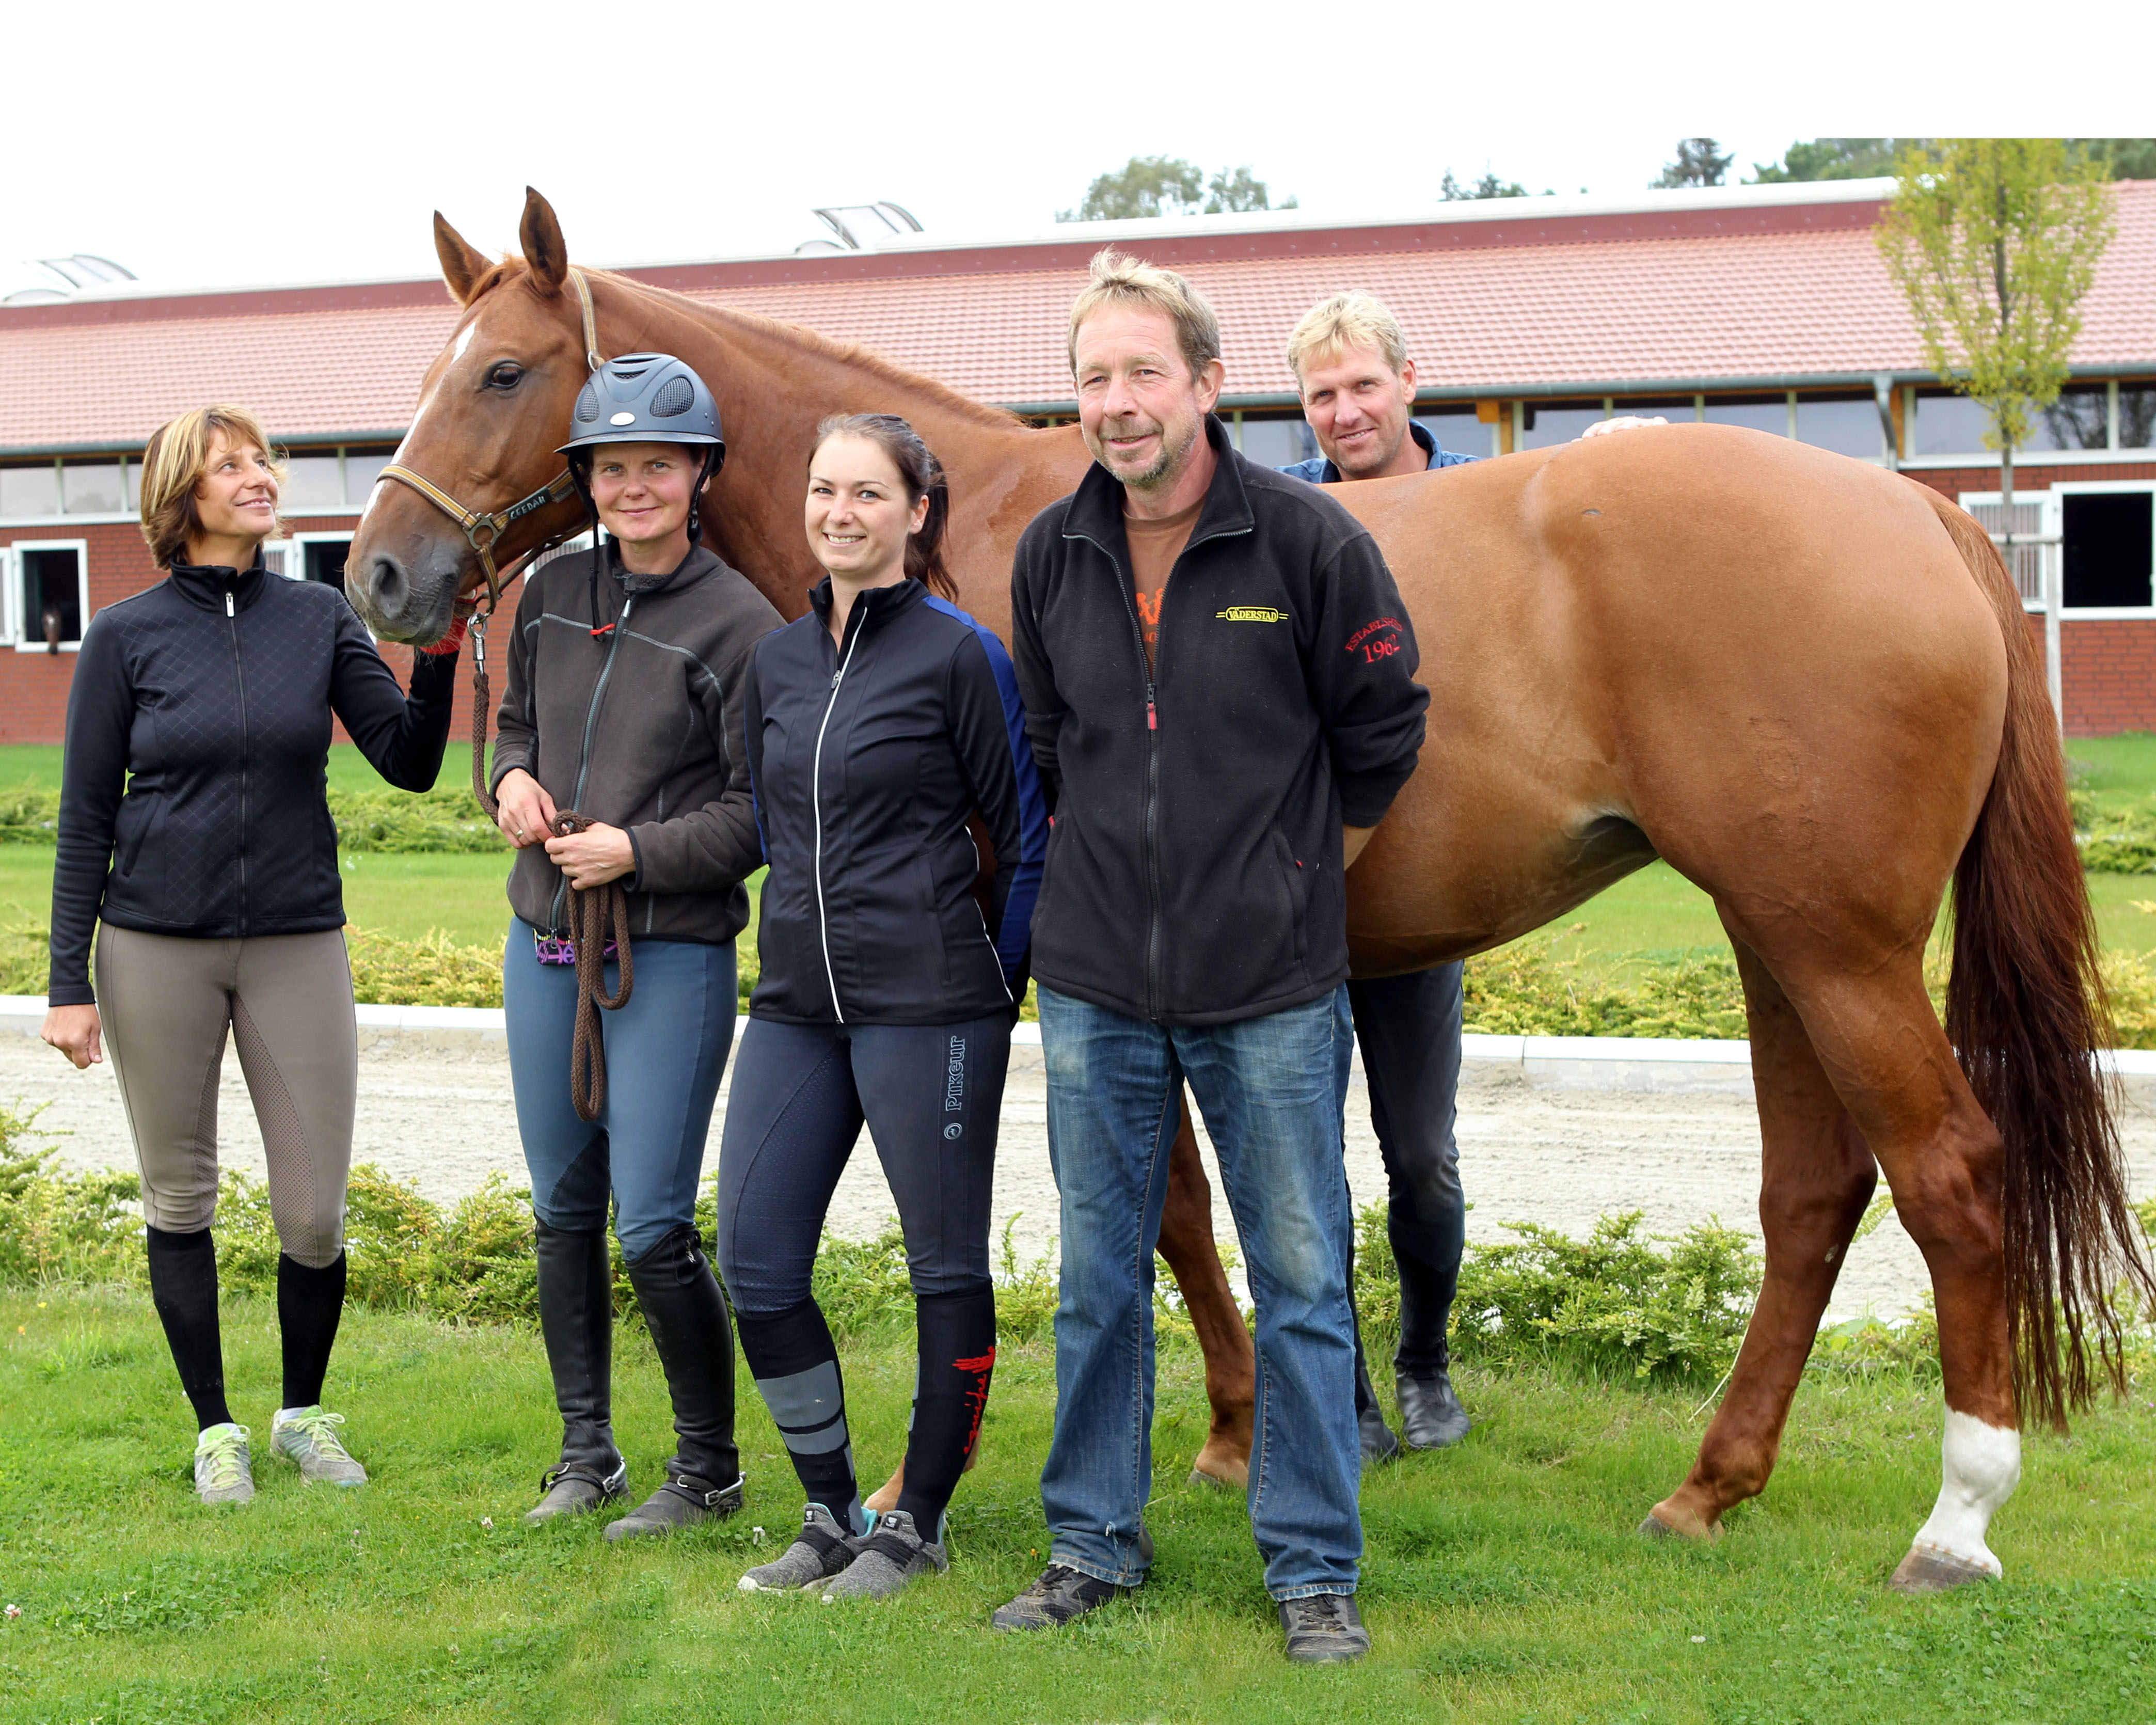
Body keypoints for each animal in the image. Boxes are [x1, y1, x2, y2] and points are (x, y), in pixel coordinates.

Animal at [345, 188, 2147, 1587]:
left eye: (503, 368)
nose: (378, 573)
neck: (966, 542)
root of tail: (1923, 516)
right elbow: (1186, 1203)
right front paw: (1241, 1425)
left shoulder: (1044, 971)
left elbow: (1152, 1203)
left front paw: (1204, 1434)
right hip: (1779, 939)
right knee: (1813, 1196)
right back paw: (1712, 1484)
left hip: (1834, 945)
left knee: (1951, 1175)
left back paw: (1956, 1518)